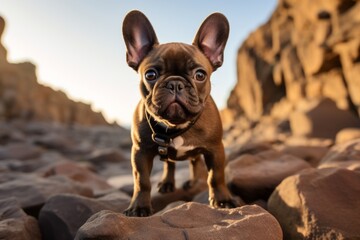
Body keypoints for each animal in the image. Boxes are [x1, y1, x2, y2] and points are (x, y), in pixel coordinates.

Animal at [122, 9, 238, 218]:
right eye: (150, 75)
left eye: (200, 75)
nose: (175, 83)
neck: (175, 126)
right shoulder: (140, 152)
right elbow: (142, 181)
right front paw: (139, 207)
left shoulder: (216, 149)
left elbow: (216, 176)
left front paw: (222, 200)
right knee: (170, 163)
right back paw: (167, 183)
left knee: (193, 162)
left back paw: (192, 182)